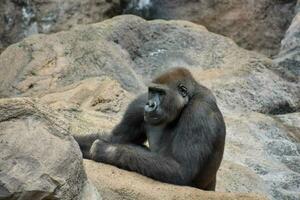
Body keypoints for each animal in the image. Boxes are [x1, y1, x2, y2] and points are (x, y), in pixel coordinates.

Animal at [75, 67, 225, 191]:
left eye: (161, 93)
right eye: (152, 91)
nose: (150, 105)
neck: (188, 99)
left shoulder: (200, 111)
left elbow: (181, 169)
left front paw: (107, 150)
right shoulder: (139, 103)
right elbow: (114, 137)